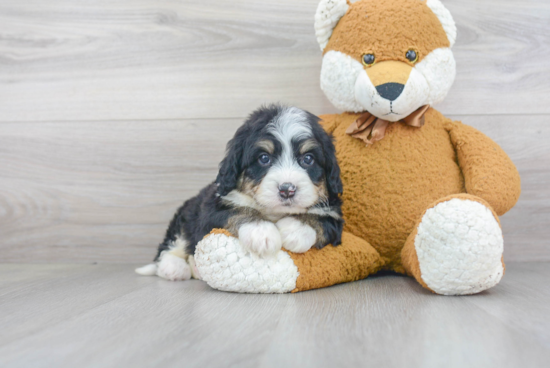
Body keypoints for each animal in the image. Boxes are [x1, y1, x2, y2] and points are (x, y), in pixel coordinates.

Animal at [137, 105, 344, 280]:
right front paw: (262, 233)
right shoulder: (212, 210)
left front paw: (296, 229)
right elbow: (238, 210)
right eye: (264, 158)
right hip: (186, 216)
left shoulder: (335, 215)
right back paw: (174, 268)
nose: (287, 190)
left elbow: (322, 220)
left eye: (308, 159)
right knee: (171, 245)